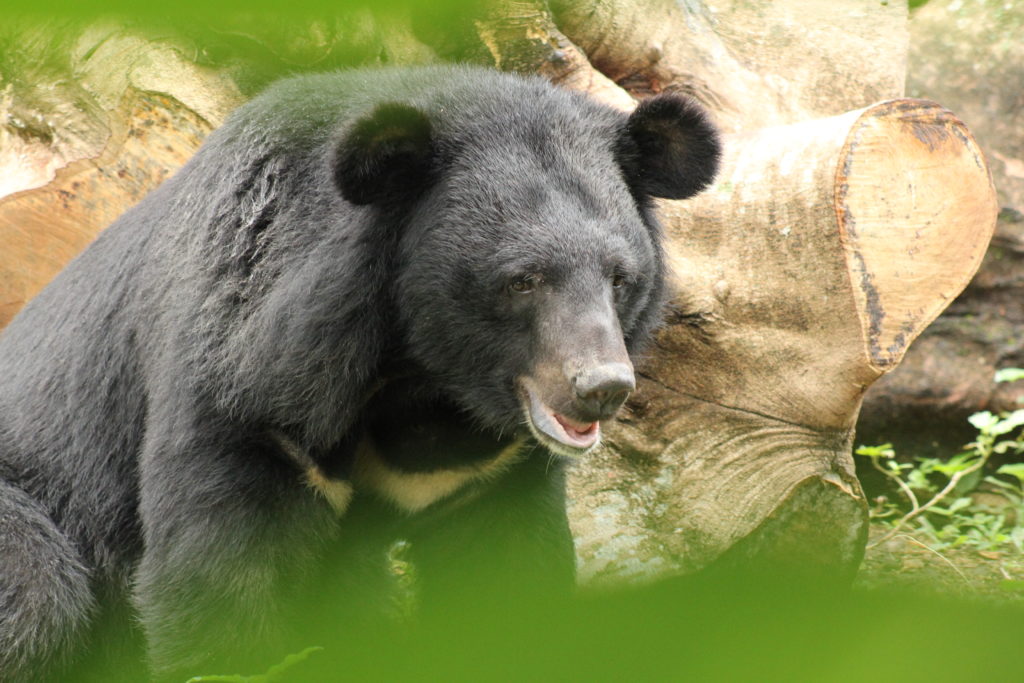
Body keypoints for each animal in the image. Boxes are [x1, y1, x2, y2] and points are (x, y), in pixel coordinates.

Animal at [0, 65, 720, 679]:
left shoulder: (488, 474)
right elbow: (217, 575)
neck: (422, 379)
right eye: (522, 280)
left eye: (620, 278)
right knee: (37, 590)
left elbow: (505, 579)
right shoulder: (248, 386)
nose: (601, 388)